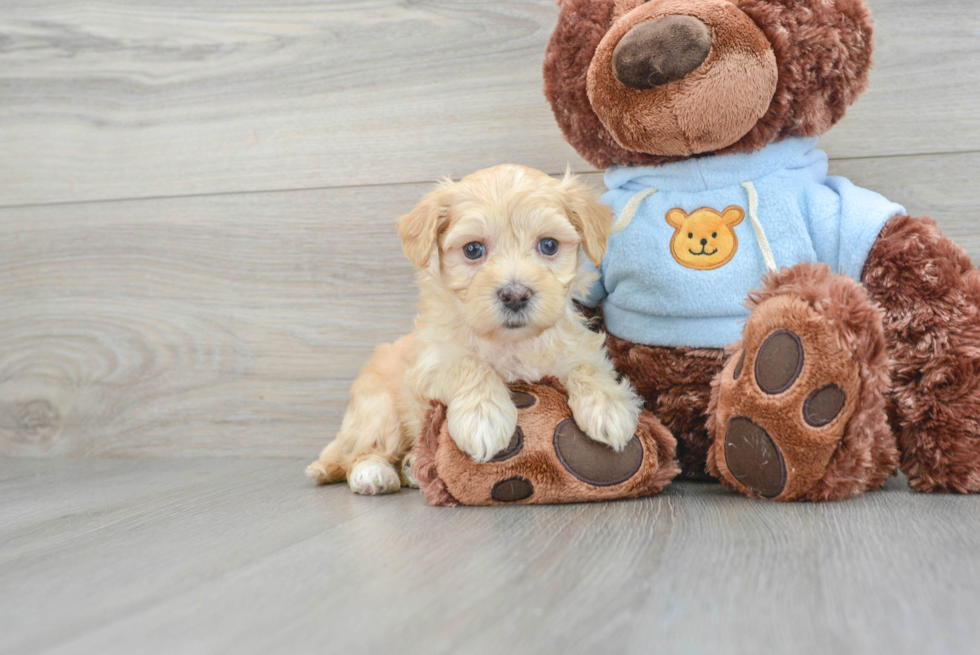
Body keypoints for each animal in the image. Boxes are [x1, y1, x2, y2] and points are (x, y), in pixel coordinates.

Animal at [308, 165, 644, 498]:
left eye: (548, 245)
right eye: (472, 250)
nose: (515, 295)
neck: (511, 342)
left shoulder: (576, 346)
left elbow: (587, 367)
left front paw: (609, 408)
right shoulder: (432, 360)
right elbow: (469, 364)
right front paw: (484, 418)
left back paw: (413, 468)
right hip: (377, 408)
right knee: (362, 451)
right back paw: (373, 473)